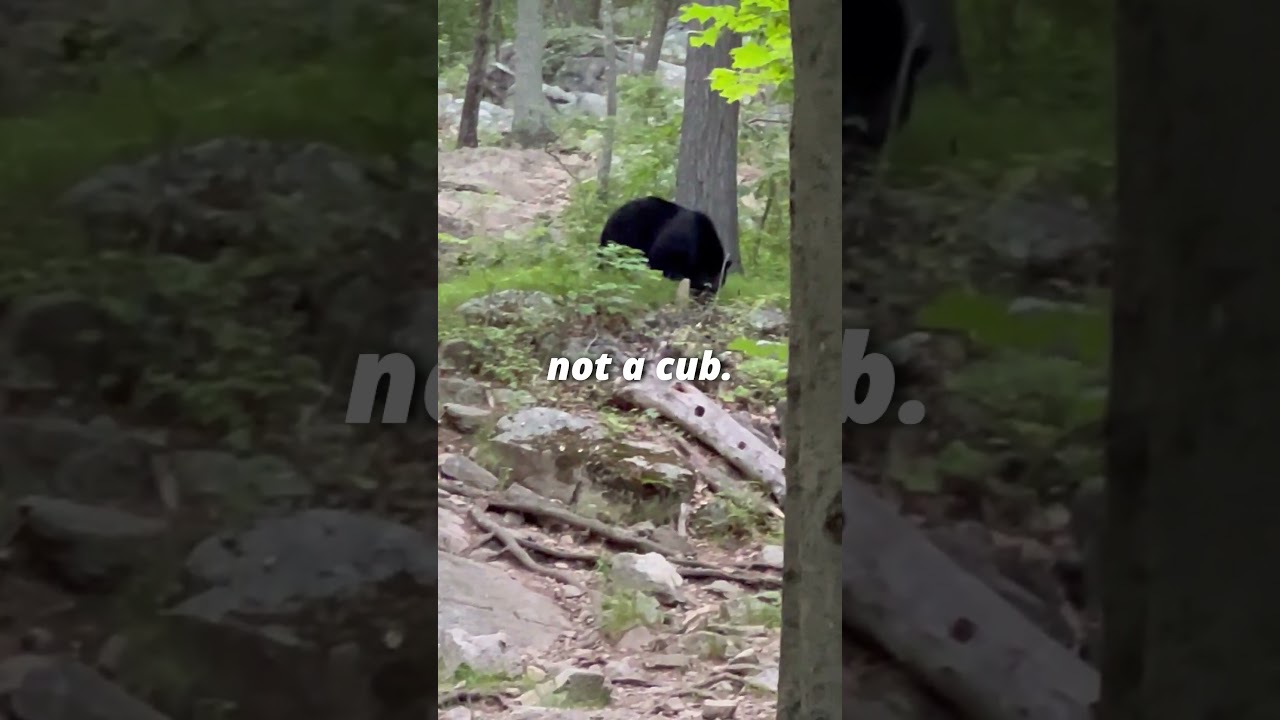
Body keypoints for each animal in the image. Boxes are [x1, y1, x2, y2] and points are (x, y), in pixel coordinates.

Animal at [599, 196, 732, 297]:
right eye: (713, 277)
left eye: (722, 280)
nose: (713, 292)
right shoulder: (678, 240)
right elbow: (661, 259)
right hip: (624, 237)